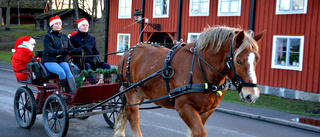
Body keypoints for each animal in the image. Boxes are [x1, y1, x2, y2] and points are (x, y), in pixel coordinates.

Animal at [115, 26, 264, 136]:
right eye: (238, 61)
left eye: (257, 59)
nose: (252, 95)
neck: (201, 68)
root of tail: (129, 50)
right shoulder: (184, 107)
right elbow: (200, 132)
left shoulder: (207, 110)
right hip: (131, 92)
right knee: (134, 117)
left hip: (140, 93)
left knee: (126, 112)